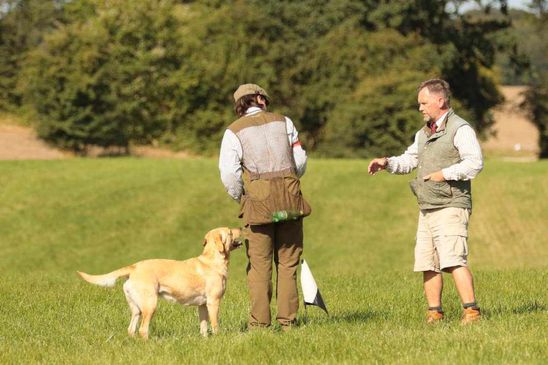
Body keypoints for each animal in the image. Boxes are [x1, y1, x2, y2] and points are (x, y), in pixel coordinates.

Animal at [76, 226, 242, 336]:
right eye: (230, 231)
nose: (240, 227)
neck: (212, 259)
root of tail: (134, 267)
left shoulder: (202, 305)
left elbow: (203, 326)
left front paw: (205, 339)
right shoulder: (213, 302)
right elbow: (214, 324)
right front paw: (218, 338)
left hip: (136, 308)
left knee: (131, 329)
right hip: (150, 304)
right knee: (143, 329)